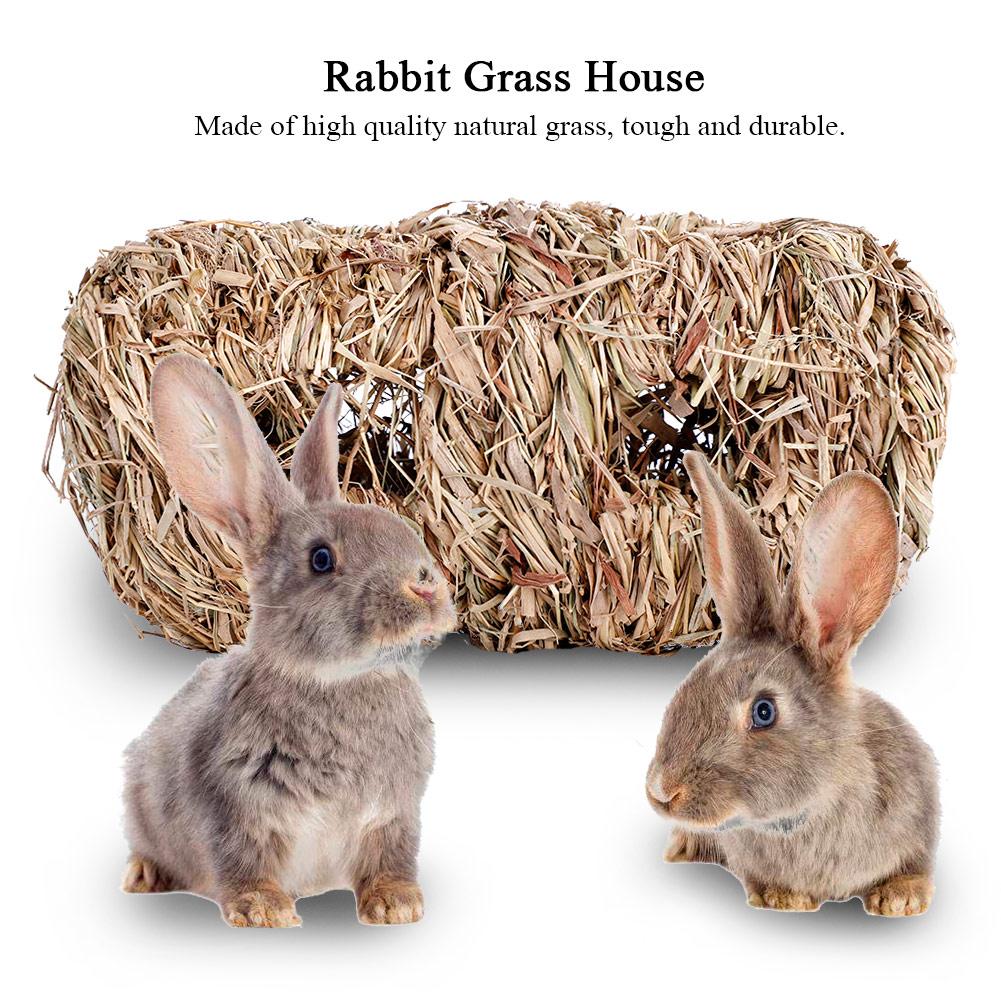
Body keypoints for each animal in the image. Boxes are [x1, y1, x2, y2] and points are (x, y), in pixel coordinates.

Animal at [121, 355, 456, 927]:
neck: (341, 681)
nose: (426, 587)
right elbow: (242, 859)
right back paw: (142, 876)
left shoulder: (391, 815)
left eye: (400, 528)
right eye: (321, 559)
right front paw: (264, 911)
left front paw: (397, 905)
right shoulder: (236, 809)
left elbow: (390, 858)